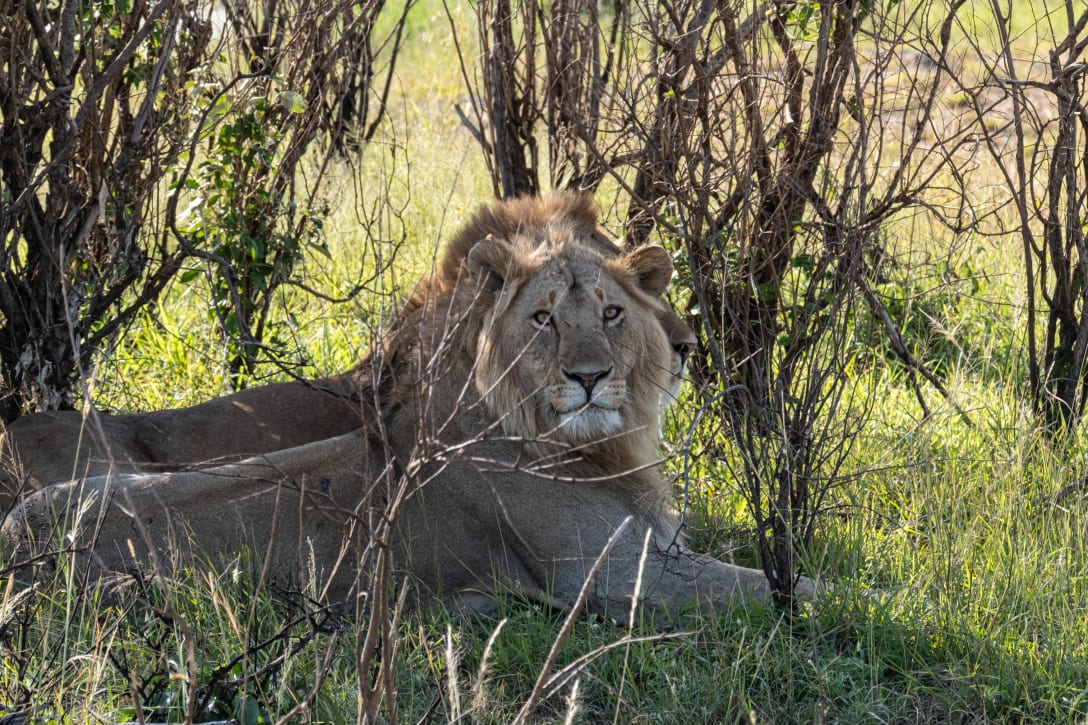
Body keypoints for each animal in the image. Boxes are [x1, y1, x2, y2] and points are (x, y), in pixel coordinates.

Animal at [4, 194, 813, 618]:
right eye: (544, 319)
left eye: (615, 311)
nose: (591, 377)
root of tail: (17, 542)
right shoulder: (621, 581)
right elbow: (796, 589)